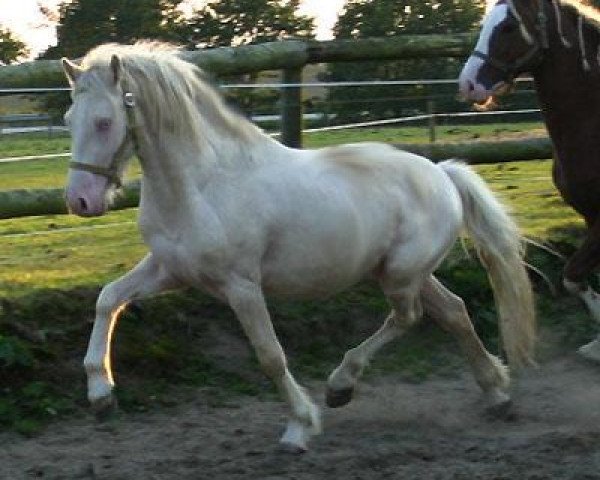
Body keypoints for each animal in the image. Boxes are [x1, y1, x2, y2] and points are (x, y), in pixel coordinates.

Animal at [63, 43, 536, 452]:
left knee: (410, 316)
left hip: (402, 275)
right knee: (452, 310)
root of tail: (442, 172)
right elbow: (108, 299)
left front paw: (299, 427)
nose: (80, 201)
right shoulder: (170, 269)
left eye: (104, 121)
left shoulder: (241, 285)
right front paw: (101, 394)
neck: (201, 185)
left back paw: (341, 385)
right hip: (400, 272)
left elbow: (270, 356)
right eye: (69, 119)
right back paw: (496, 394)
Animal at [462, 0, 600, 360]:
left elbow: (572, 275)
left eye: (509, 27)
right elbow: (574, 278)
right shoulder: (590, 218)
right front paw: (596, 343)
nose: (468, 83)